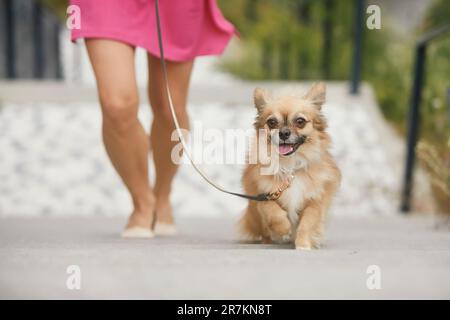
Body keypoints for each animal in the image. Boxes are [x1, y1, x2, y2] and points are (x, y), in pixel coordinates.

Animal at [241, 82, 340, 250]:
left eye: (300, 121)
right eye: (272, 122)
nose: (284, 133)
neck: (290, 166)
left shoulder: (314, 202)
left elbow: (307, 224)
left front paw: (303, 245)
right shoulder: (264, 196)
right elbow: (273, 212)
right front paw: (284, 230)